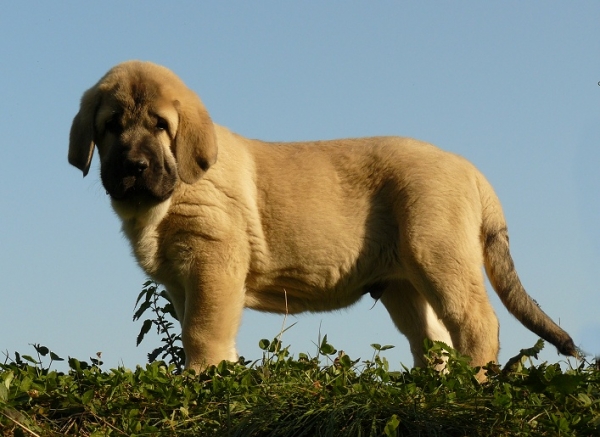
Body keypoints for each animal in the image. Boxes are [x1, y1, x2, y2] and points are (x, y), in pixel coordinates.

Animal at [67, 61, 576, 374]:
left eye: (160, 126)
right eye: (111, 127)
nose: (134, 167)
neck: (170, 196)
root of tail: (470, 170)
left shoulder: (212, 265)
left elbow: (201, 330)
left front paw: (202, 378)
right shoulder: (182, 279)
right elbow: (208, 330)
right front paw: (221, 375)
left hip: (439, 256)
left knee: (476, 325)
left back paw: (471, 383)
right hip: (404, 284)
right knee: (433, 342)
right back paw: (430, 386)